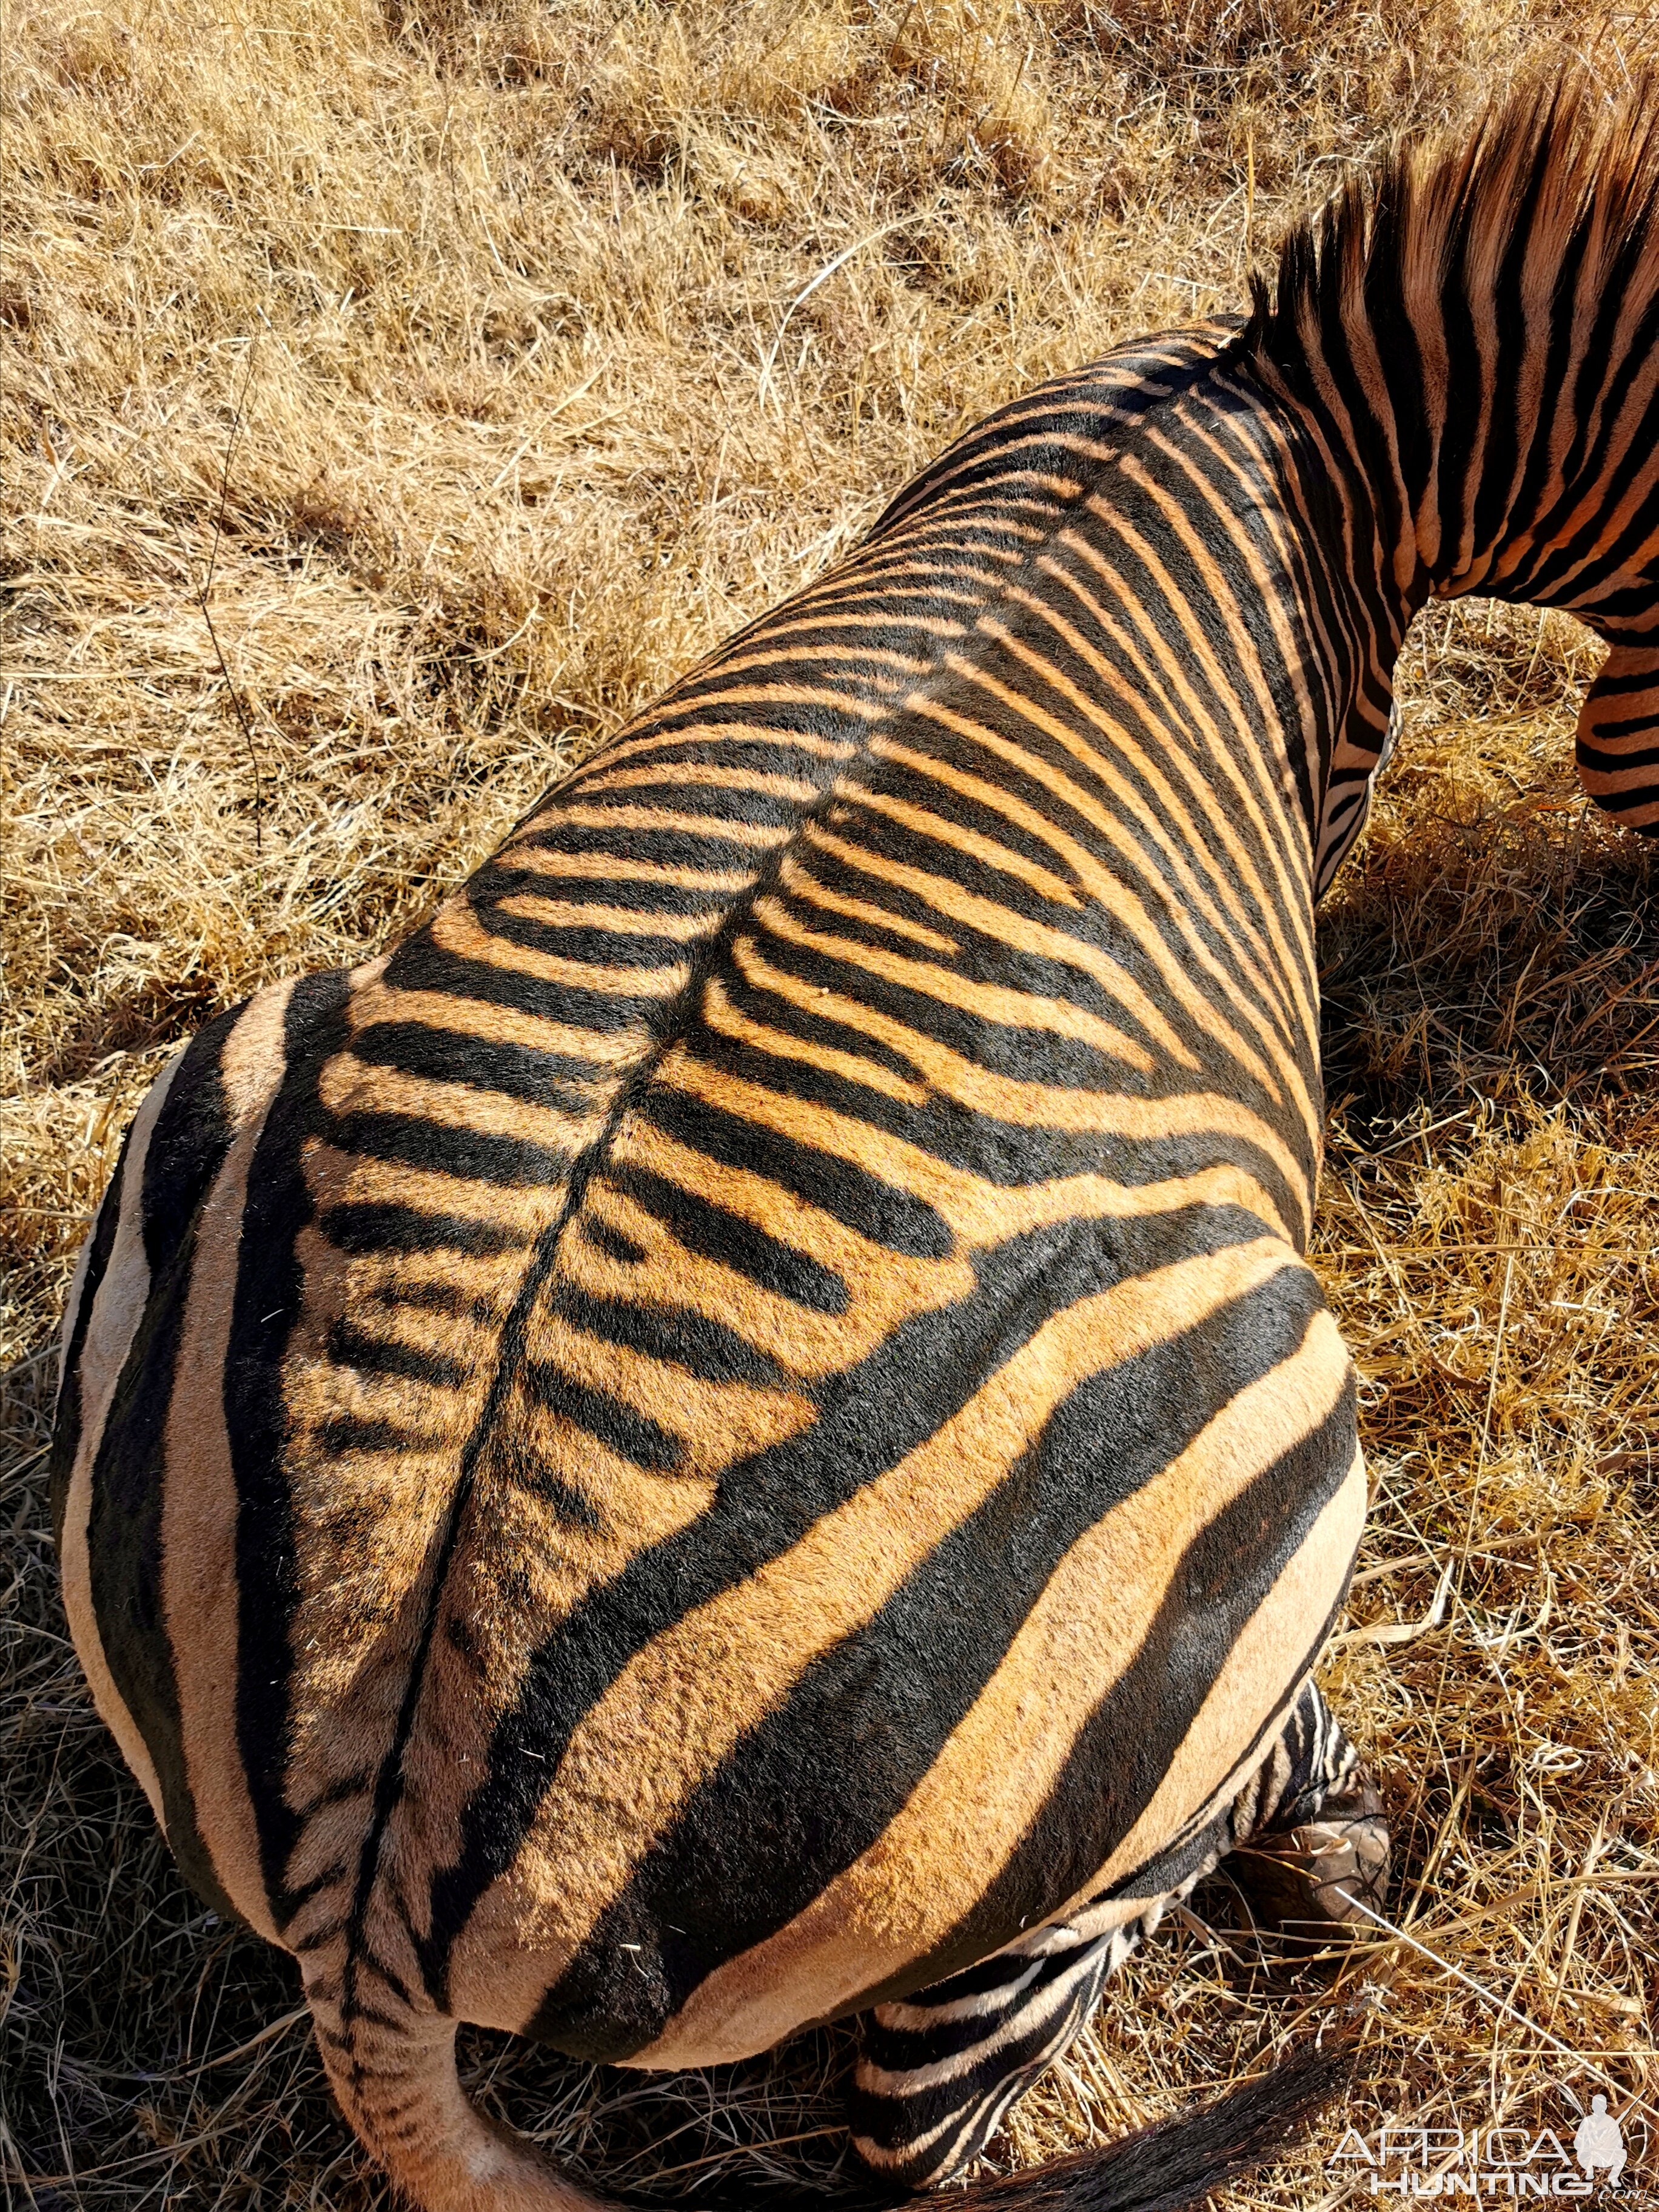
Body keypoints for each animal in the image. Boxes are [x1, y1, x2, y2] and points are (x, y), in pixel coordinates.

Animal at [52, 69, 1659, 2212]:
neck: (1287, 413)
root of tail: (374, 1864)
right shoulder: (1330, 767)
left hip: (229, 1088)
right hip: (1260, 1495)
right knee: (941, 2120)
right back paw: (1329, 1835)